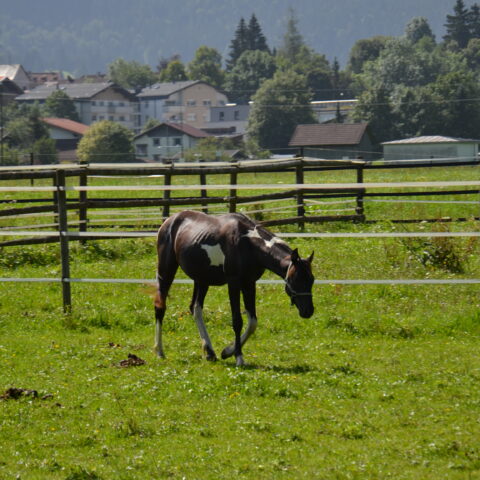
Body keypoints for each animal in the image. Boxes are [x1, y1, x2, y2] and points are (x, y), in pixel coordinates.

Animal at [154, 210, 316, 368]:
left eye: (312, 280)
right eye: (296, 279)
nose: (308, 311)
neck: (248, 244)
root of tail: (169, 221)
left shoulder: (249, 283)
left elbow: (252, 322)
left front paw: (227, 351)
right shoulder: (234, 283)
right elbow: (237, 321)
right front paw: (238, 357)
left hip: (202, 280)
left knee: (195, 308)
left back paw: (209, 352)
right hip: (166, 272)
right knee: (160, 307)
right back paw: (159, 351)